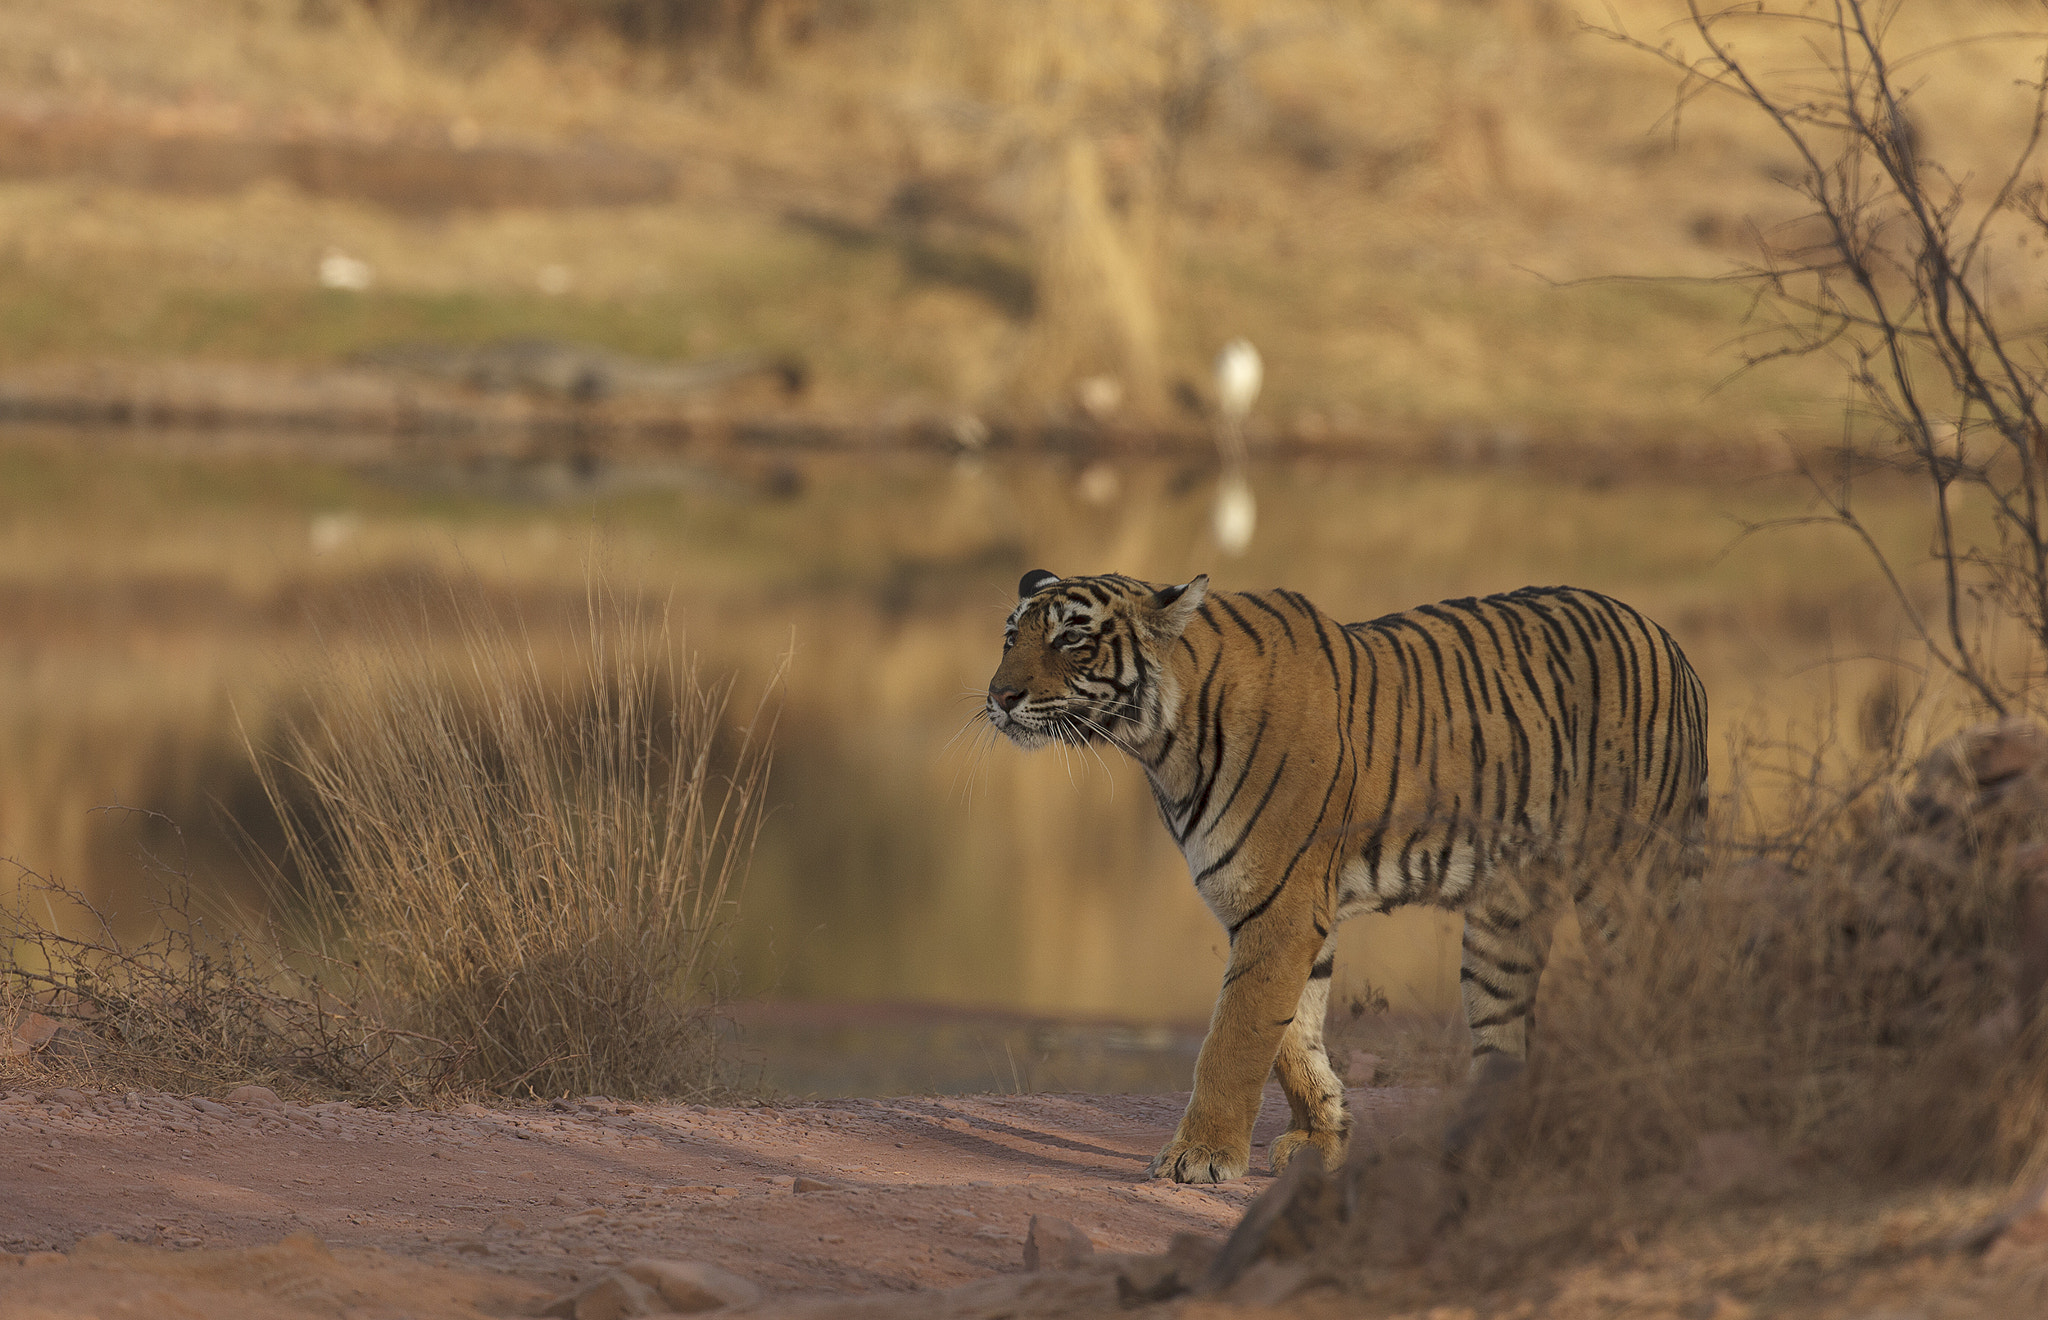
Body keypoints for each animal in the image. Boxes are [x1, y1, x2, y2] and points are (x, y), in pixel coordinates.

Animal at [983, 564, 1703, 1186]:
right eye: (1011, 637)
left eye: (1072, 639)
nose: (999, 696)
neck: (1161, 744)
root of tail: (1671, 644)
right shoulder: (1279, 908)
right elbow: (1292, 1037)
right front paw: (1321, 1138)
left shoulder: (1282, 908)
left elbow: (1235, 1038)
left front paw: (1201, 1155)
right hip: (1505, 920)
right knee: (1505, 1038)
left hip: (1628, 882)